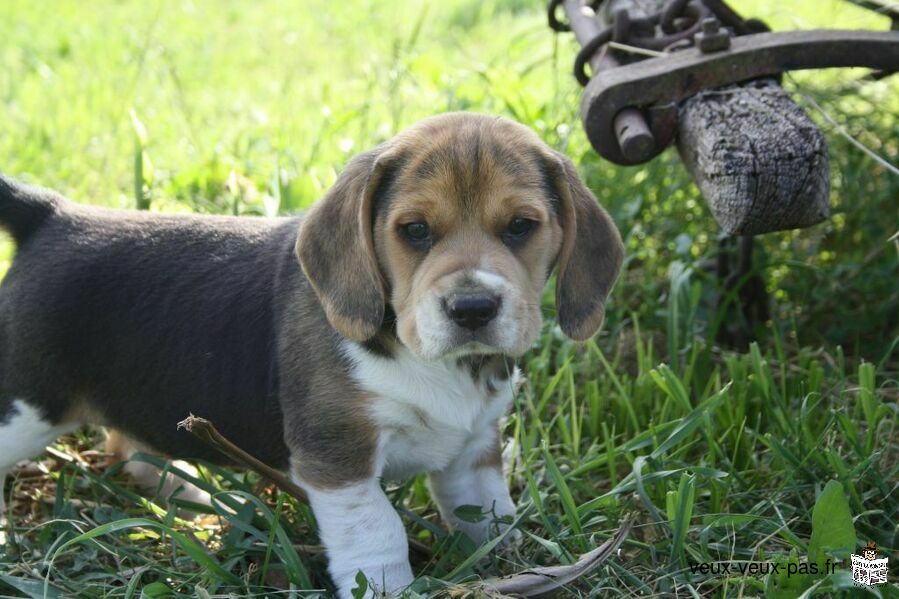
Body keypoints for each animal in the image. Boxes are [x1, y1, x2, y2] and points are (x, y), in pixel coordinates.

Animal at [0, 113, 624, 599]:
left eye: (520, 226)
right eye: (415, 231)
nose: (472, 308)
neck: (428, 358)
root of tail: (53, 214)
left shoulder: (473, 451)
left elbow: (489, 513)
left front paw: (516, 565)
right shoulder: (337, 456)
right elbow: (377, 531)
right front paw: (390, 588)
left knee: (131, 447)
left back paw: (195, 498)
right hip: (25, 407)